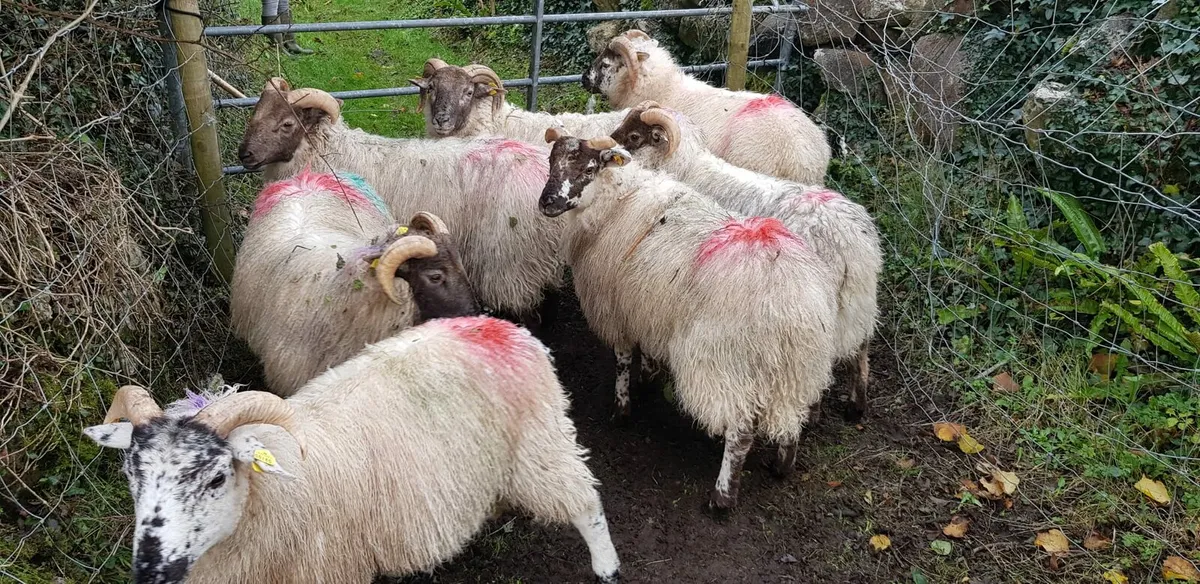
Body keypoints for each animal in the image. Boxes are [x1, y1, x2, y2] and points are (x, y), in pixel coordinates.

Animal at [81, 316, 621, 584]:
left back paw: (607, 568)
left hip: (539, 442)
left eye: (217, 477)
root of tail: (502, 326)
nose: (149, 570)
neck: (268, 497)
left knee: (585, 503)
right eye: (132, 476)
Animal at [538, 129, 838, 510]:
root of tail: (794, 302)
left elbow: (622, 361)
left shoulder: (616, 309)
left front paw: (622, 410)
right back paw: (781, 466)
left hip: (726, 361)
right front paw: (648, 377)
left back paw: (722, 497)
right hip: (799, 369)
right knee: (792, 420)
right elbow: (645, 354)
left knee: (740, 431)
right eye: (551, 161)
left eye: (588, 168)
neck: (617, 200)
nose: (546, 202)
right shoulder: (645, 307)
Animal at [607, 103, 882, 419]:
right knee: (861, 349)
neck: (687, 167)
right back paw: (856, 406)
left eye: (634, 137)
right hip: (859, 305)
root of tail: (852, 243)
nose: (605, 145)